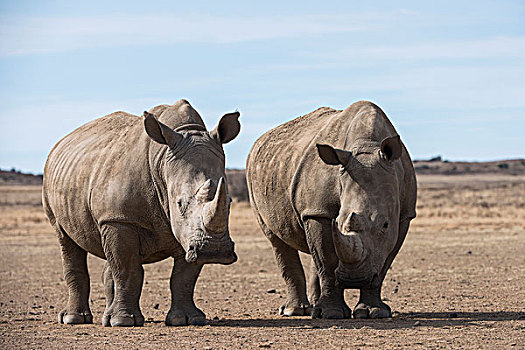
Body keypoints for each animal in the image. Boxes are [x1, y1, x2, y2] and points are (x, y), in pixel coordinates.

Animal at [43, 100, 239, 326]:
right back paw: (74, 319)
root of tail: (58, 145)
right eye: (179, 203)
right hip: (54, 187)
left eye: (230, 202)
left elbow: (184, 277)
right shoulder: (119, 219)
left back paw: (104, 317)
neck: (162, 162)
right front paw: (122, 322)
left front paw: (188, 319)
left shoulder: (188, 235)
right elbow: (127, 270)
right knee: (66, 239)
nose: (214, 251)